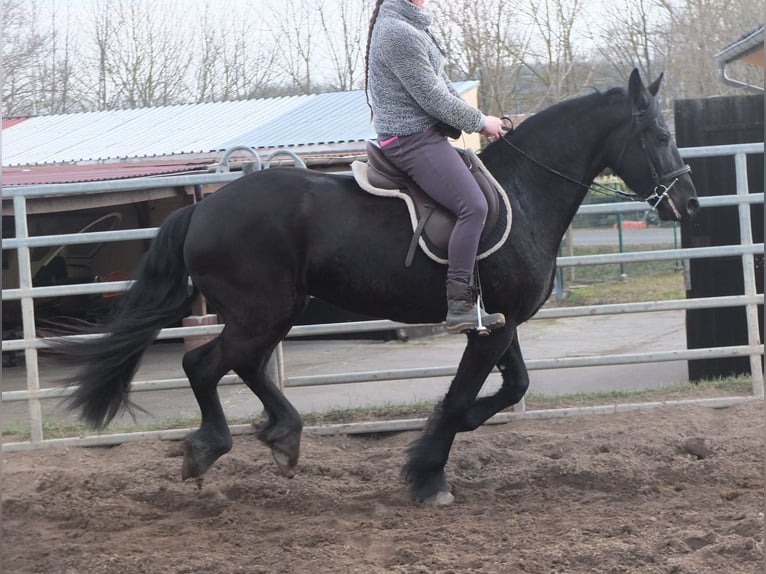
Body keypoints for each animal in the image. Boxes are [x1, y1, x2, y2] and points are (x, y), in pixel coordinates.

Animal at [57, 70, 700, 506]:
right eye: (658, 134)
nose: (688, 203)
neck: (523, 192)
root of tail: (203, 210)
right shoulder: (486, 329)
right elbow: (464, 398)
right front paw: (427, 472)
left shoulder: (501, 322)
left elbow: (509, 388)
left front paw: (432, 447)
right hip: (261, 313)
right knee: (206, 365)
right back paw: (212, 446)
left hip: (274, 313)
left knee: (242, 366)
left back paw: (281, 435)